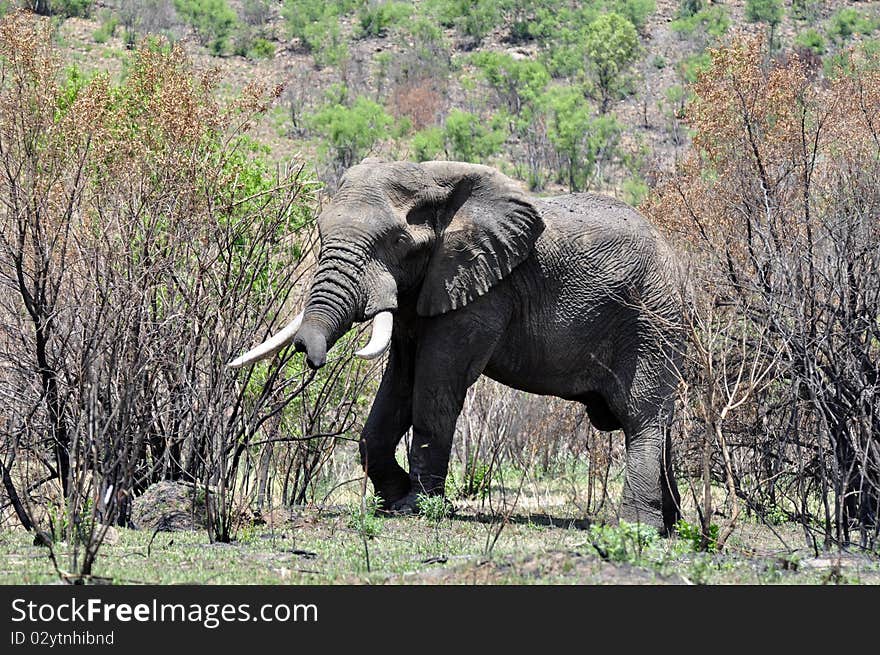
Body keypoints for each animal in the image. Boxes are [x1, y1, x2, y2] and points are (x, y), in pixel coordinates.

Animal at [232, 161, 688, 536]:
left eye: (397, 241)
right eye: (322, 230)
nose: (309, 355)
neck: (431, 177)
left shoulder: (481, 290)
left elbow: (435, 382)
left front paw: (415, 507)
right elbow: (399, 382)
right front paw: (393, 499)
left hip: (653, 322)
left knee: (642, 418)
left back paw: (637, 529)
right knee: (657, 425)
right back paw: (672, 526)